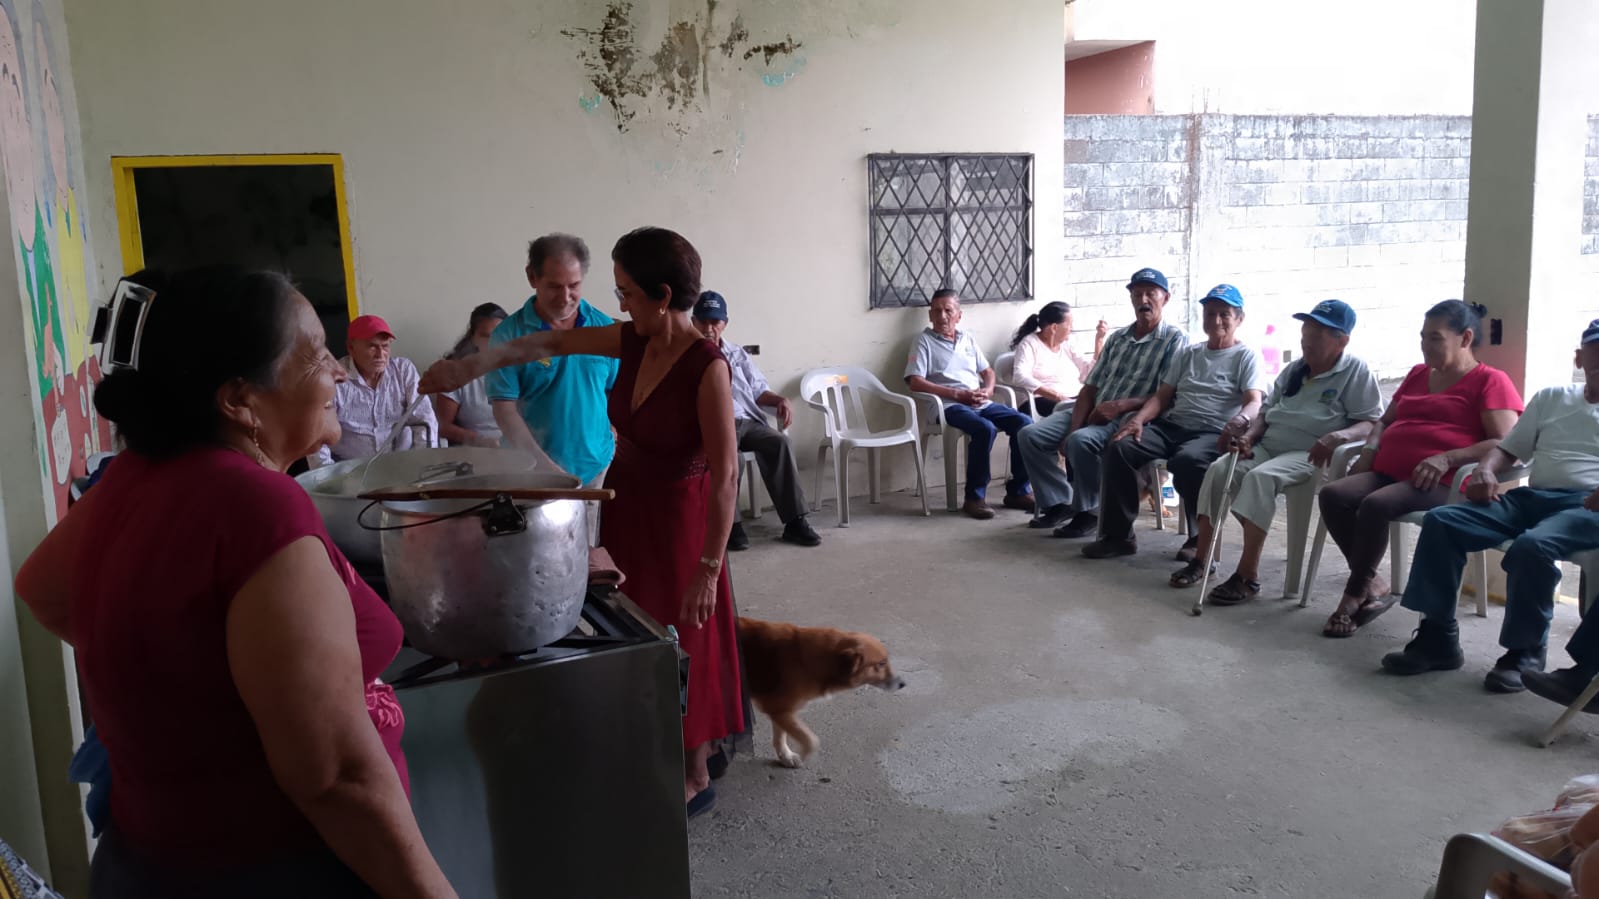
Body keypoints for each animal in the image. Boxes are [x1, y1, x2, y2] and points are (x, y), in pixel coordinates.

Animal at [735, 616, 905, 768]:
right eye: (881, 663)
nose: (903, 684)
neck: (804, 659)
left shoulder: (780, 710)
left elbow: (780, 736)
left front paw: (786, 756)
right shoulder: (780, 710)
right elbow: (812, 741)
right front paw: (803, 755)